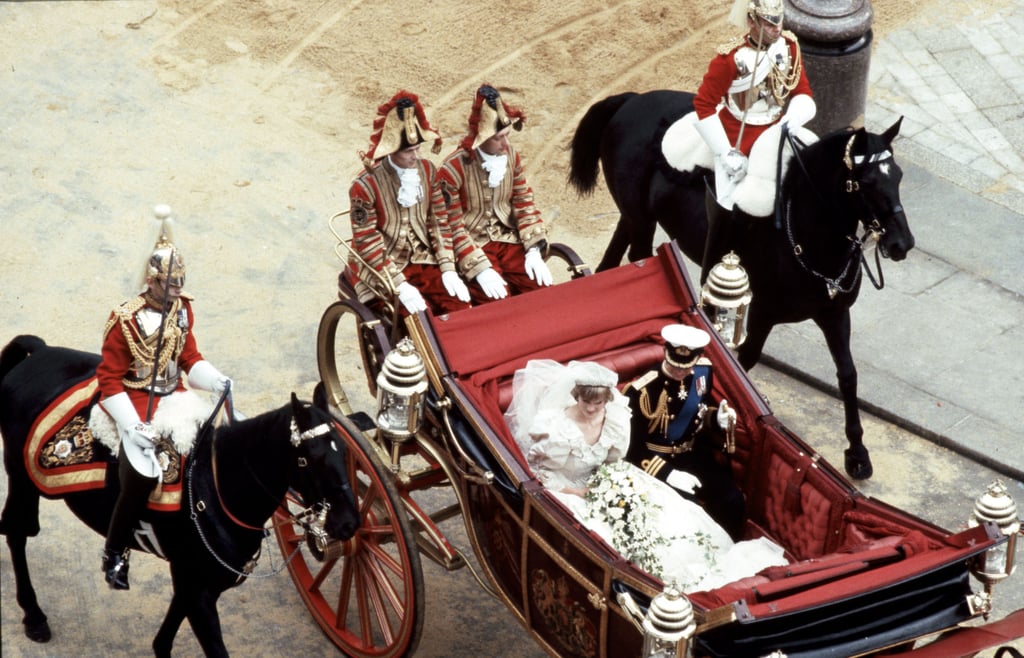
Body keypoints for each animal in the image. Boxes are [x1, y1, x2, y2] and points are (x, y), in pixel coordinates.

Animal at [1, 337, 360, 654]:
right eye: (308, 459)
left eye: (344, 452)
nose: (349, 523)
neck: (217, 486)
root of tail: (41, 351)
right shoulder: (199, 590)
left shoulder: (194, 583)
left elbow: (165, 638)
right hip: (22, 480)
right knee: (17, 531)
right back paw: (34, 616)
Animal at [569, 90, 913, 478]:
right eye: (865, 183)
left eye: (898, 176)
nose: (902, 244)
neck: (807, 232)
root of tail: (636, 98)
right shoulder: (763, 313)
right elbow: (745, 360)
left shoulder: (834, 312)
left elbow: (848, 375)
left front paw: (857, 451)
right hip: (641, 218)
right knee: (638, 257)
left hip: (635, 216)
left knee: (613, 258)